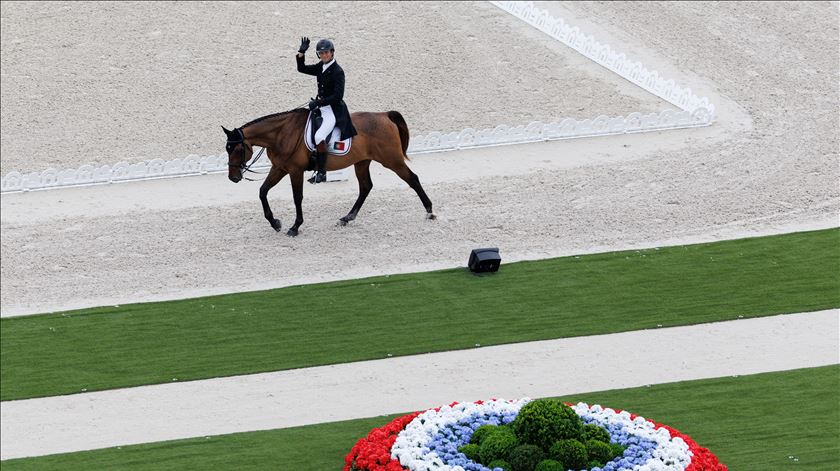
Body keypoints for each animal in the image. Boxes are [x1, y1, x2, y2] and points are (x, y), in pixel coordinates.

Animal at [223, 109, 436, 238]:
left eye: (237, 149)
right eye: (227, 149)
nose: (233, 177)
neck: (282, 134)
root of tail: (384, 115)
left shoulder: (295, 171)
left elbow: (297, 197)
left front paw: (295, 227)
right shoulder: (280, 168)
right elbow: (262, 191)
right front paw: (275, 223)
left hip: (391, 160)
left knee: (412, 179)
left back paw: (430, 211)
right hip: (362, 162)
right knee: (365, 187)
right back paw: (347, 217)